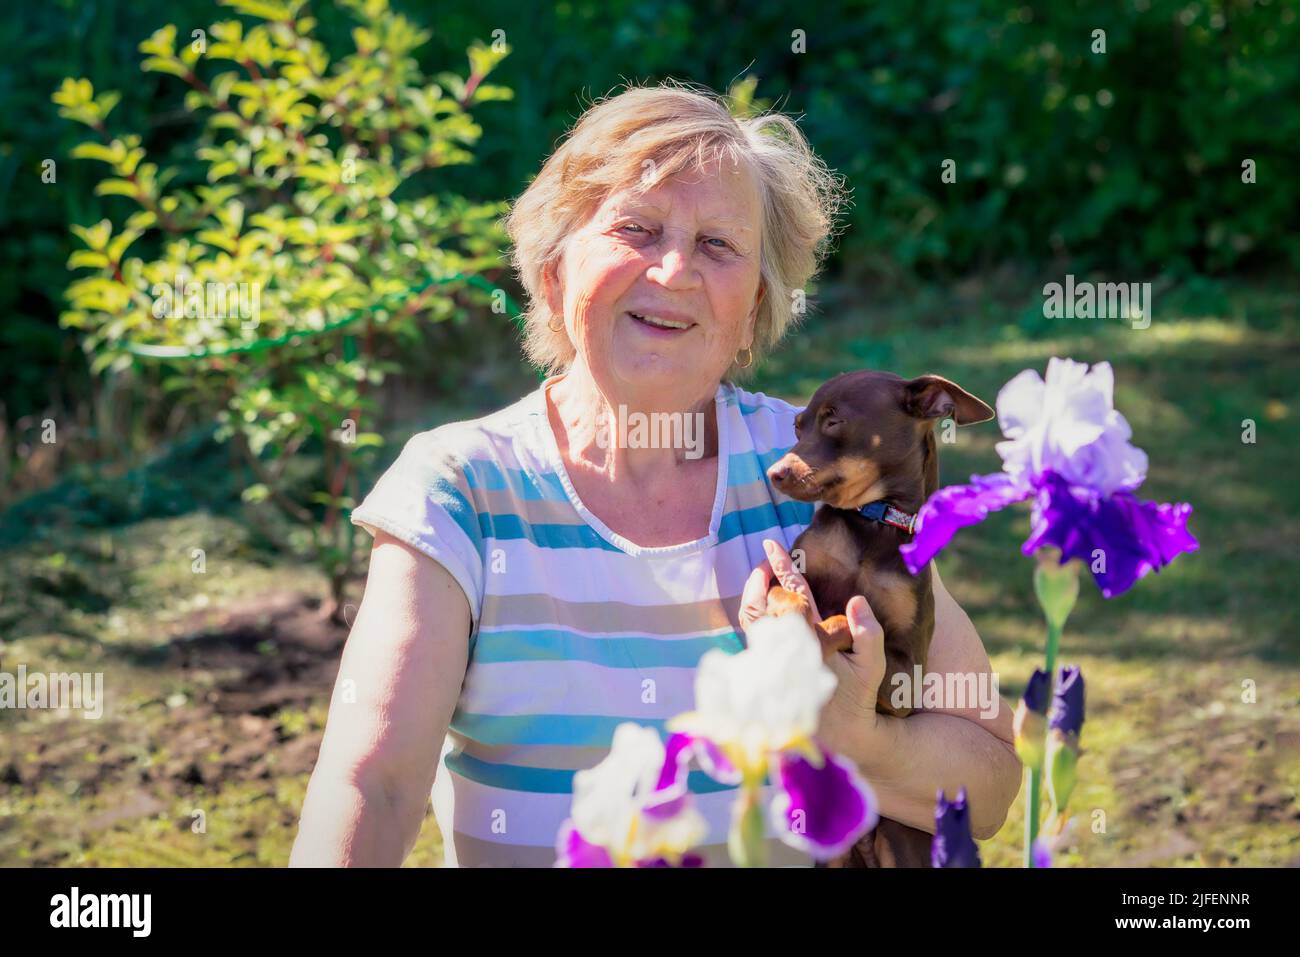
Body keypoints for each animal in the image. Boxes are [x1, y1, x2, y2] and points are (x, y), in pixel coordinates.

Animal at [764, 369, 987, 863]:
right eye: (797, 427)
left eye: (834, 422)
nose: (775, 472)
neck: (872, 521)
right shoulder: (783, 572)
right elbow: (787, 596)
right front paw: (796, 624)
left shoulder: (905, 673)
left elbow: (846, 622)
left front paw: (817, 635)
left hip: (901, 841)